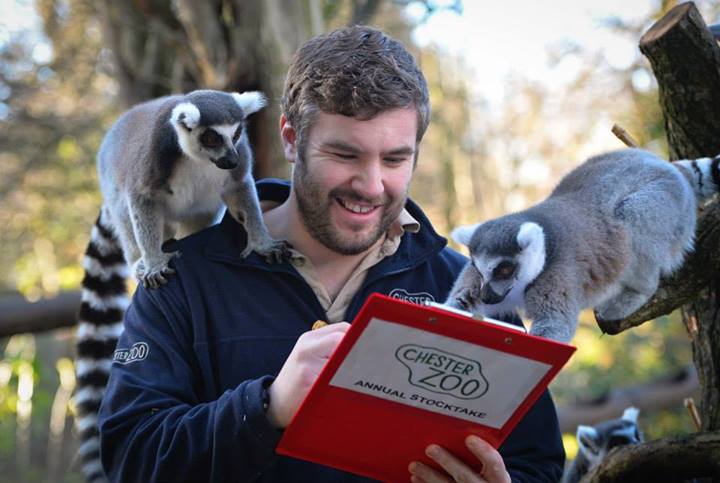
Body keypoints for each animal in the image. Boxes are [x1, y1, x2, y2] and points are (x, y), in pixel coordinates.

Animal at [74, 89, 288, 482]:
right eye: (212, 137)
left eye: (237, 133)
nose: (231, 157)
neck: (198, 160)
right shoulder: (153, 158)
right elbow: (140, 199)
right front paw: (154, 263)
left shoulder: (239, 166)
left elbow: (241, 187)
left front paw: (261, 242)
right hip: (114, 183)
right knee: (126, 212)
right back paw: (142, 261)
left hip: (193, 212)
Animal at [445, 148, 720, 343]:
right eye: (478, 268)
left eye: (504, 269)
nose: (487, 297)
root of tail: (665, 164)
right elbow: (462, 303)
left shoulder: (556, 276)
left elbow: (555, 324)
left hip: (666, 202)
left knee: (632, 216)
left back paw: (635, 293)